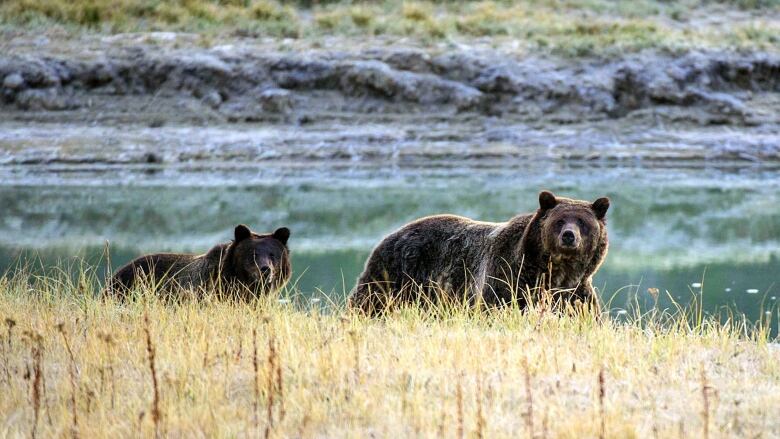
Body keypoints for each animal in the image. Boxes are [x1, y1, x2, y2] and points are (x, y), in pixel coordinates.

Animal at [350, 191, 612, 314]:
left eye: (582, 222)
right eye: (560, 220)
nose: (569, 236)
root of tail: (390, 234)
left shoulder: (576, 293)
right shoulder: (508, 278)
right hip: (396, 274)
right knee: (369, 302)